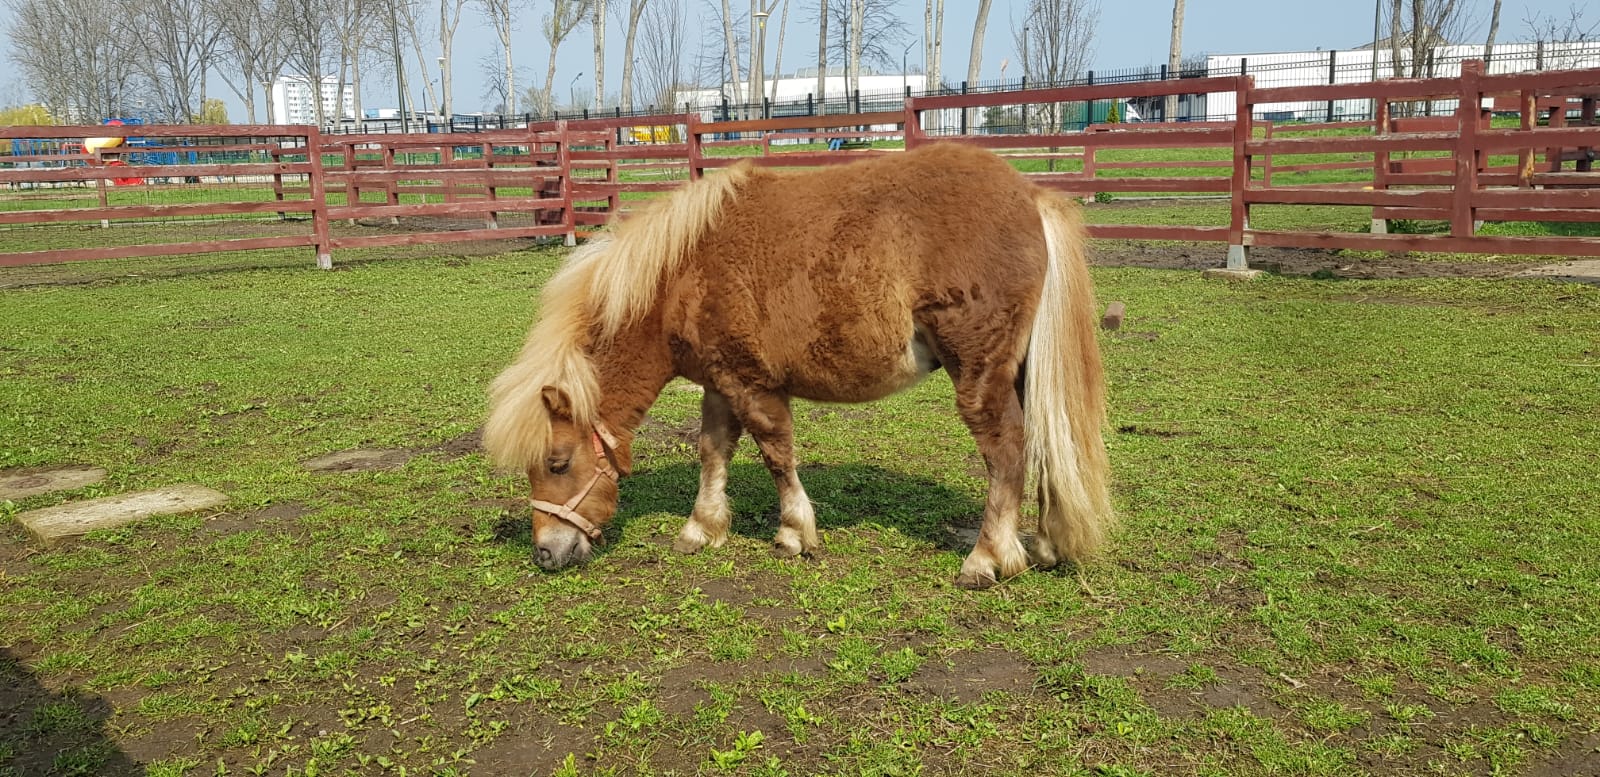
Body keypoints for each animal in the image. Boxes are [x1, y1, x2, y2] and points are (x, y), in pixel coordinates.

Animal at [483, 142, 1113, 585]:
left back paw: (986, 558)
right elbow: (713, 450)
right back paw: (1044, 544)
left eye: (559, 463)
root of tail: (1030, 196)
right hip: (1021, 371)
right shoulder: (720, 382)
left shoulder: (752, 383)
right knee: (1045, 444)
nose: (546, 552)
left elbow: (776, 453)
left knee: (1007, 451)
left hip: (979, 372)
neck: (682, 274)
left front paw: (793, 532)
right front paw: (702, 527)